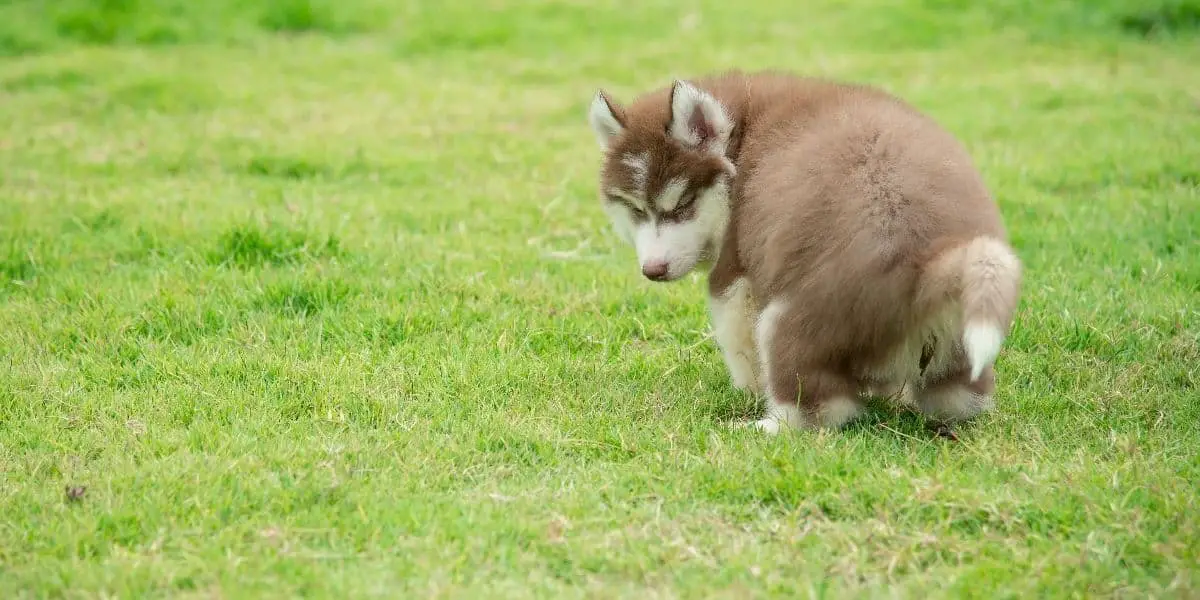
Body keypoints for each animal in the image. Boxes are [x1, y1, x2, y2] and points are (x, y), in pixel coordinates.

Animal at [585, 70, 1017, 434]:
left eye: (682, 205)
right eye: (636, 210)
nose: (652, 270)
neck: (742, 137)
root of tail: (928, 261)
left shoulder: (735, 273)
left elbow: (736, 340)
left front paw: (746, 390)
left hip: (788, 322)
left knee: (820, 409)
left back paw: (761, 426)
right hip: (956, 345)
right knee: (960, 398)